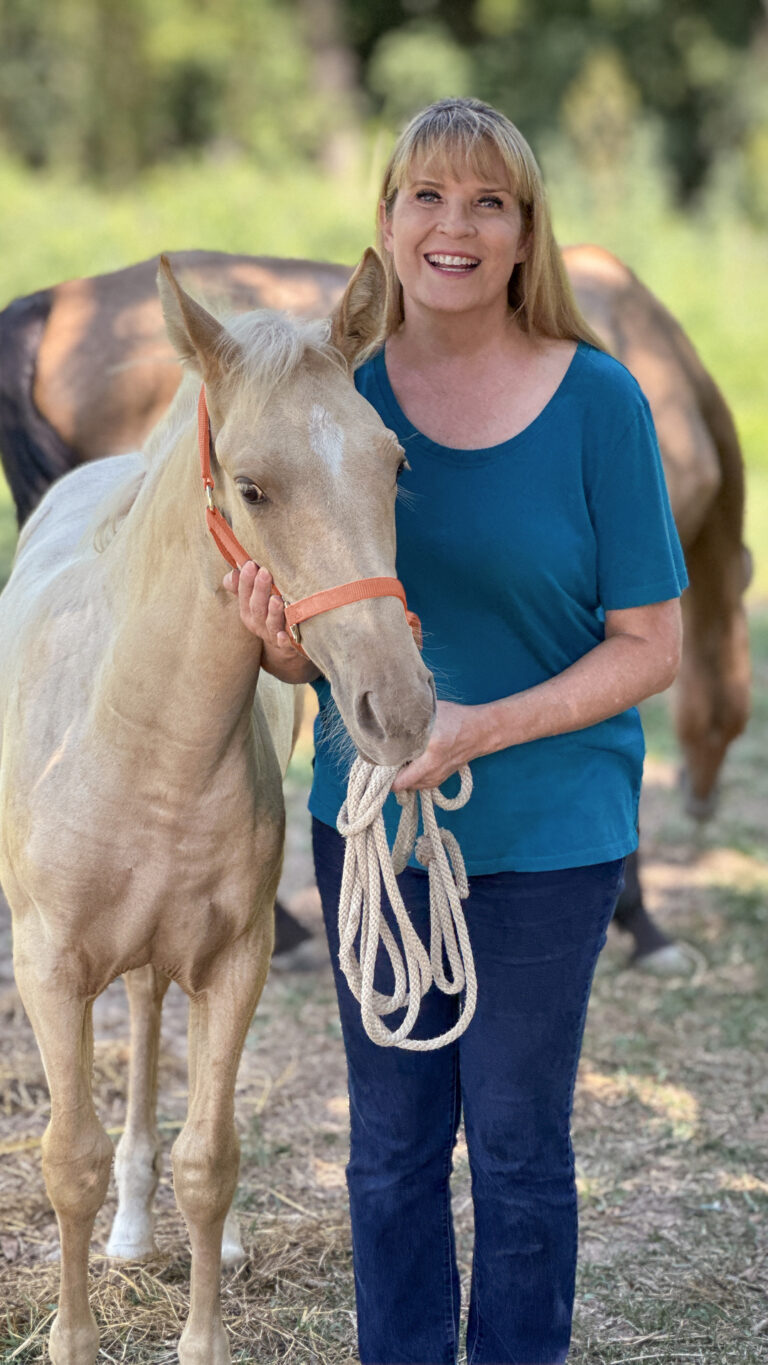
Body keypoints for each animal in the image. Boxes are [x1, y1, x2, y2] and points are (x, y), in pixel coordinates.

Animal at [0, 251, 436, 1359]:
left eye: (393, 466)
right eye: (252, 487)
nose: (402, 707)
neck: (139, 742)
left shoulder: (236, 960)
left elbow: (212, 1155)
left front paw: (202, 1329)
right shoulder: (49, 968)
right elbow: (66, 1158)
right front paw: (73, 1337)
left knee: (173, 1037)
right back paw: (126, 1226)